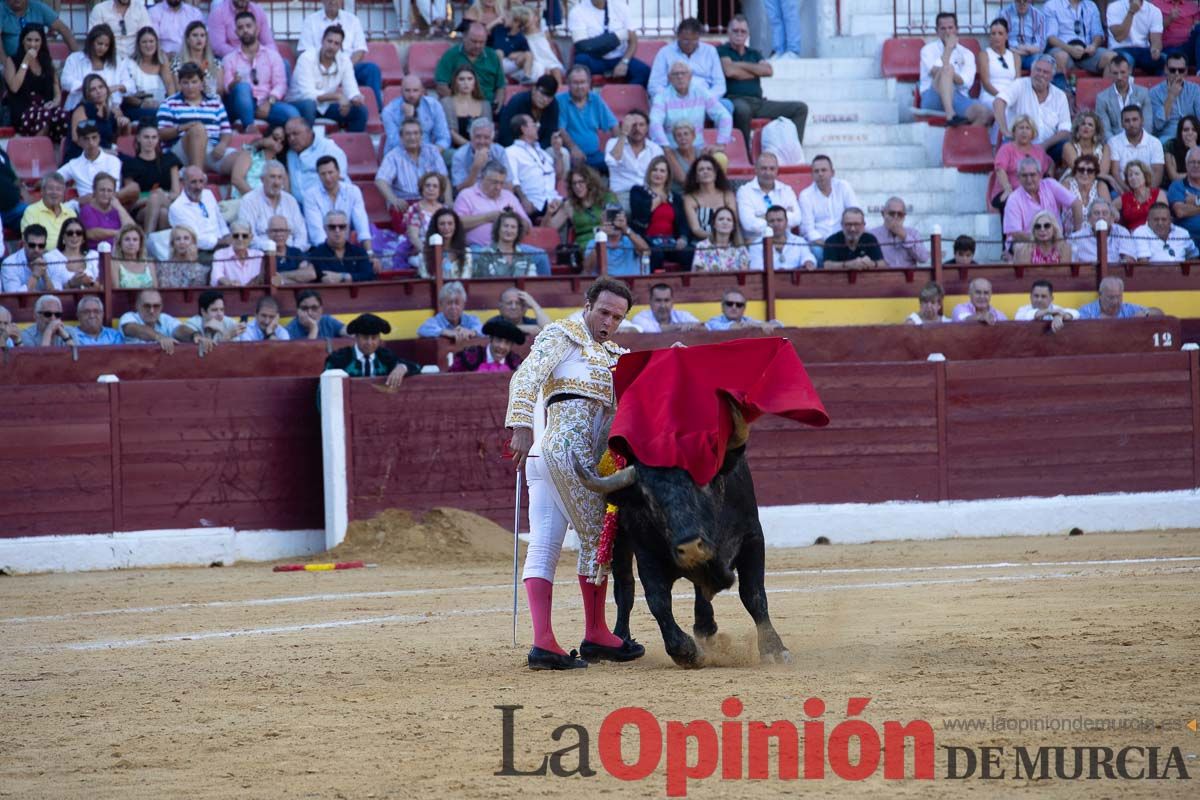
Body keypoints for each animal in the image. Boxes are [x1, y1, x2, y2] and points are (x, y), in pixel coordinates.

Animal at [576, 410, 792, 666]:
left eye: (703, 482)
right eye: (649, 498)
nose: (690, 548)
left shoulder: (752, 537)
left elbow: (753, 593)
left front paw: (773, 649)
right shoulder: (646, 553)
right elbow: (657, 600)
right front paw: (685, 651)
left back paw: (705, 627)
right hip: (617, 540)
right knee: (625, 587)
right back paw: (622, 639)